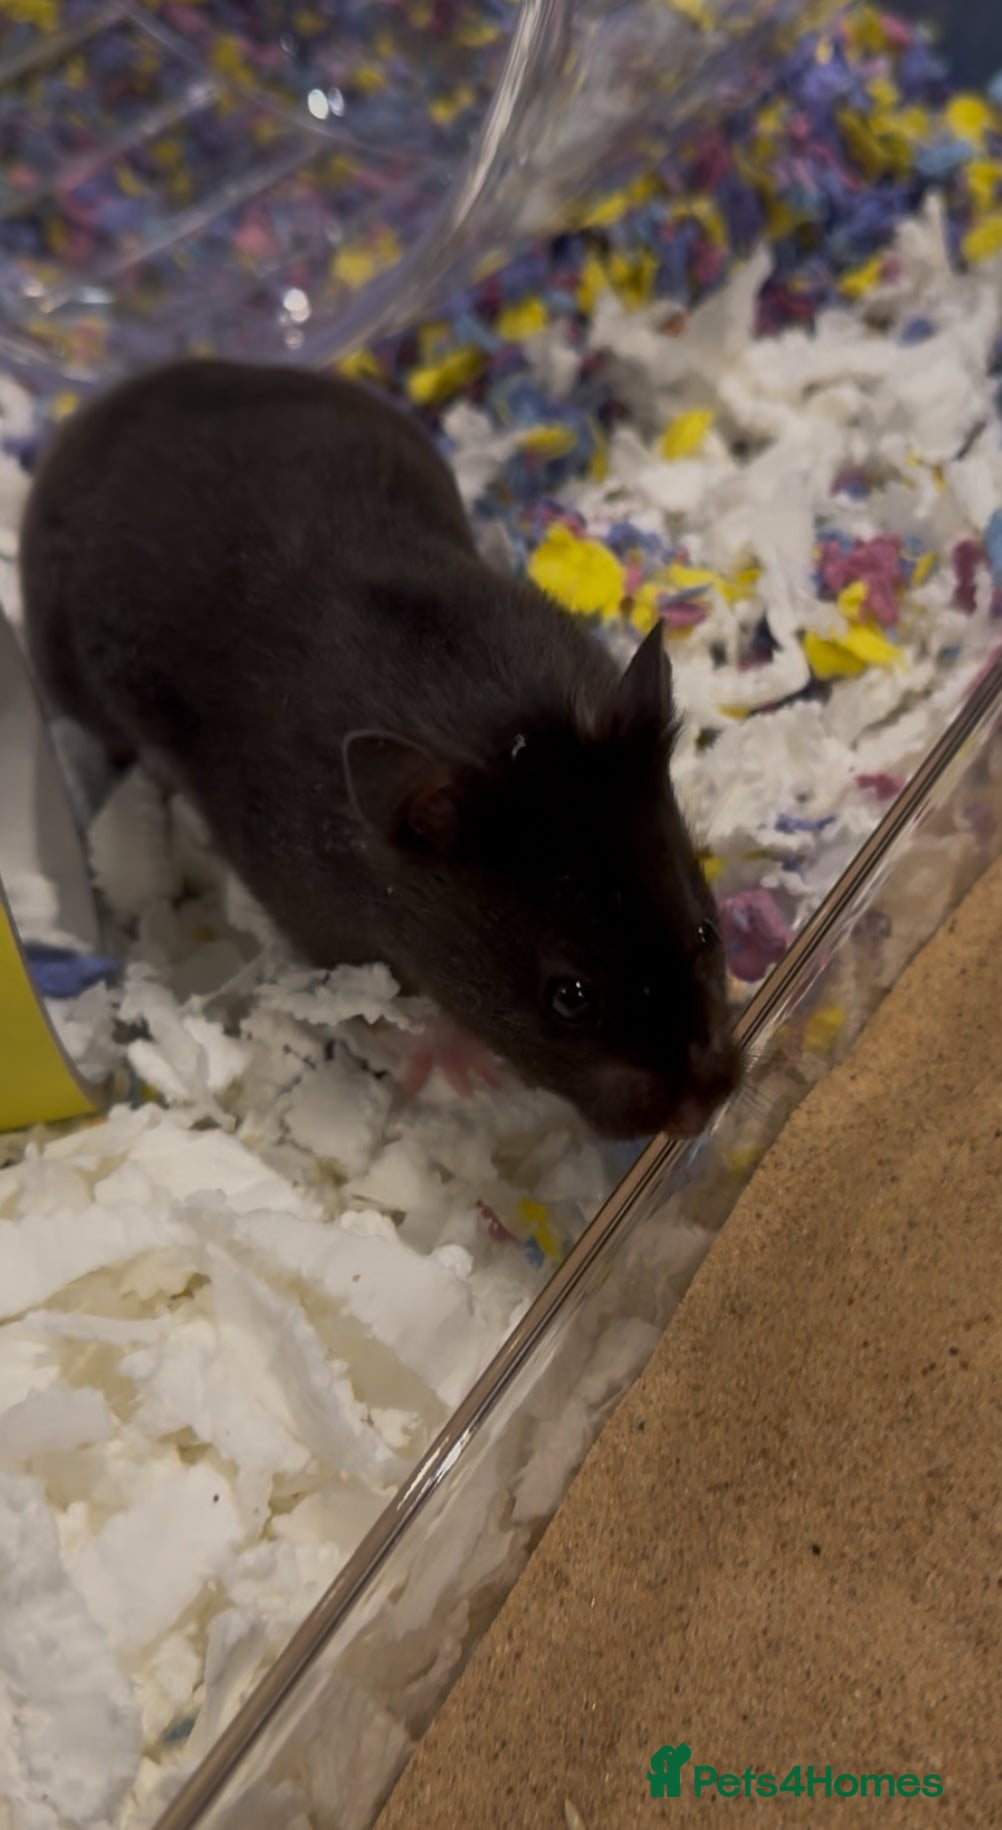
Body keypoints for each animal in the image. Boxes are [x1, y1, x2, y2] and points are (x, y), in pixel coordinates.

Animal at [20, 358, 741, 1140]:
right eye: (569, 997)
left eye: (706, 932)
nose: (702, 1113)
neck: (492, 724)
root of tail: (105, 404)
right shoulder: (318, 923)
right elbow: (391, 1000)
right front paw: (462, 1070)